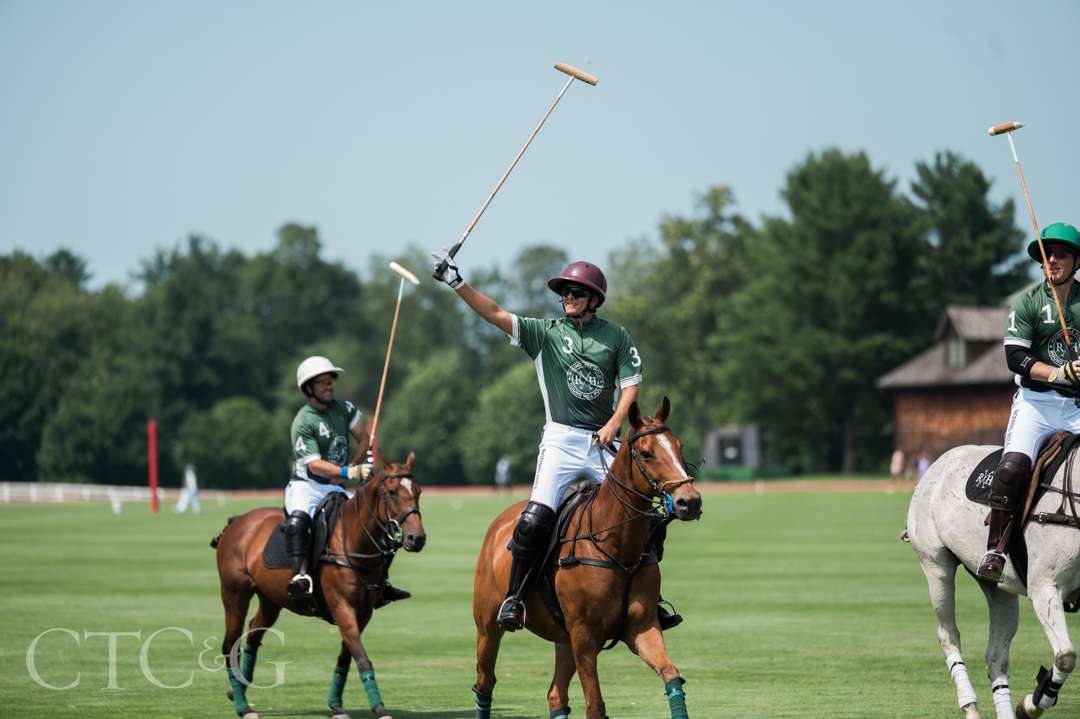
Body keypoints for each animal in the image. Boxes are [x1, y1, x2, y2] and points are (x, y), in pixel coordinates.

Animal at [212, 452, 425, 719]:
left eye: (418, 491)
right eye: (393, 492)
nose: (416, 539)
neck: (352, 540)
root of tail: (236, 522)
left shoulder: (364, 612)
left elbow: (346, 657)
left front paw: (336, 705)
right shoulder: (341, 606)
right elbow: (361, 656)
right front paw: (379, 708)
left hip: (271, 598)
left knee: (253, 633)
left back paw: (238, 687)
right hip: (234, 593)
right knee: (230, 643)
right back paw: (243, 706)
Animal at [472, 398, 703, 719]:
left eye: (679, 447)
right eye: (646, 454)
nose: (689, 501)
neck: (617, 548)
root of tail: (502, 520)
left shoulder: (642, 626)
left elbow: (671, 674)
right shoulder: (584, 635)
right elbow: (595, 705)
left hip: (562, 637)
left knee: (555, 695)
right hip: (488, 627)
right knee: (485, 682)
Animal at [907, 443, 1080, 719]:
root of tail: (941, 461)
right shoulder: (1045, 587)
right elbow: (1066, 655)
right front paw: (1030, 705)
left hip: (999, 589)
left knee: (996, 655)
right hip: (935, 565)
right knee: (948, 634)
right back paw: (970, 705)